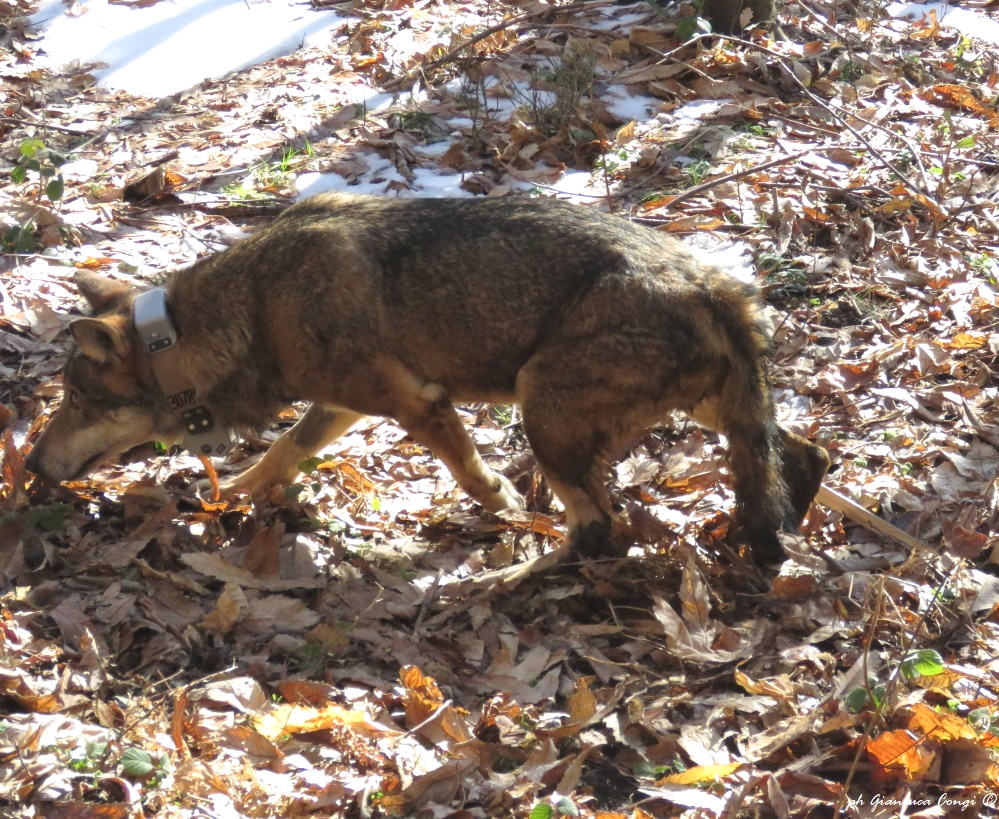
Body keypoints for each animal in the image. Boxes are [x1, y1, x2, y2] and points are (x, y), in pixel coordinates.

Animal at [25, 193, 829, 562]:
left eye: (76, 400)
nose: (29, 464)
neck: (248, 306)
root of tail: (712, 281)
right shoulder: (339, 403)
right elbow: (283, 450)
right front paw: (242, 490)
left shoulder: (419, 404)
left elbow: (470, 471)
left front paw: (503, 503)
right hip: (709, 408)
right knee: (803, 454)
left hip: (542, 406)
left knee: (602, 528)